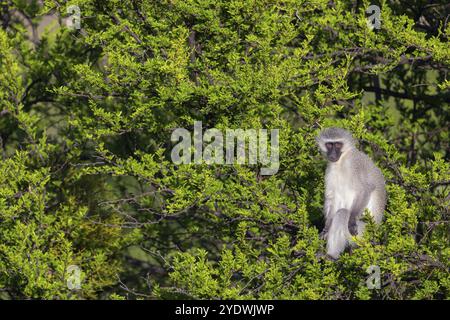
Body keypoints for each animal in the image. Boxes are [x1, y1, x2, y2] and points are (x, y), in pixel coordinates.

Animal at [316, 127, 386, 258]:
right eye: (329, 145)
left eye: (338, 144)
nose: (332, 154)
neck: (342, 160)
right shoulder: (330, 170)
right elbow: (333, 198)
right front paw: (326, 229)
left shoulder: (355, 164)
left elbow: (365, 189)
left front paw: (352, 220)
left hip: (363, 233)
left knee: (342, 214)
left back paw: (331, 256)